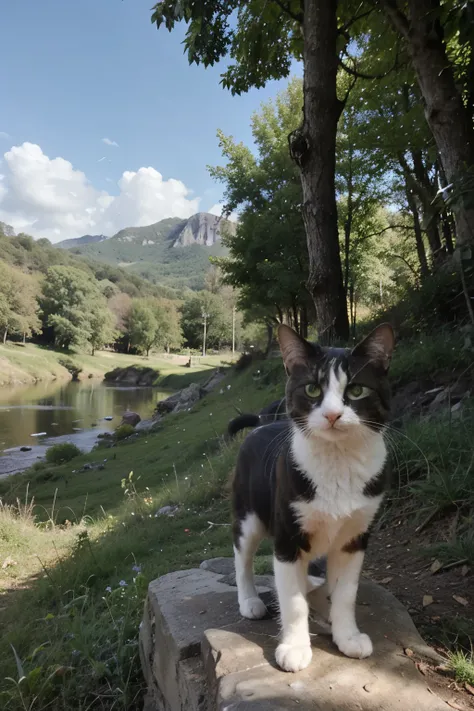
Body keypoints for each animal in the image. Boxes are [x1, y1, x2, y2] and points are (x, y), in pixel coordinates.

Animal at [231, 322, 394, 672]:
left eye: (356, 390)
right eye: (312, 390)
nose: (332, 415)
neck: (337, 463)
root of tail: (262, 423)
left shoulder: (355, 537)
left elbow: (345, 592)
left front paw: (347, 636)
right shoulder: (287, 537)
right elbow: (292, 601)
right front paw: (294, 647)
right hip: (249, 516)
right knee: (243, 557)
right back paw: (250, 599)